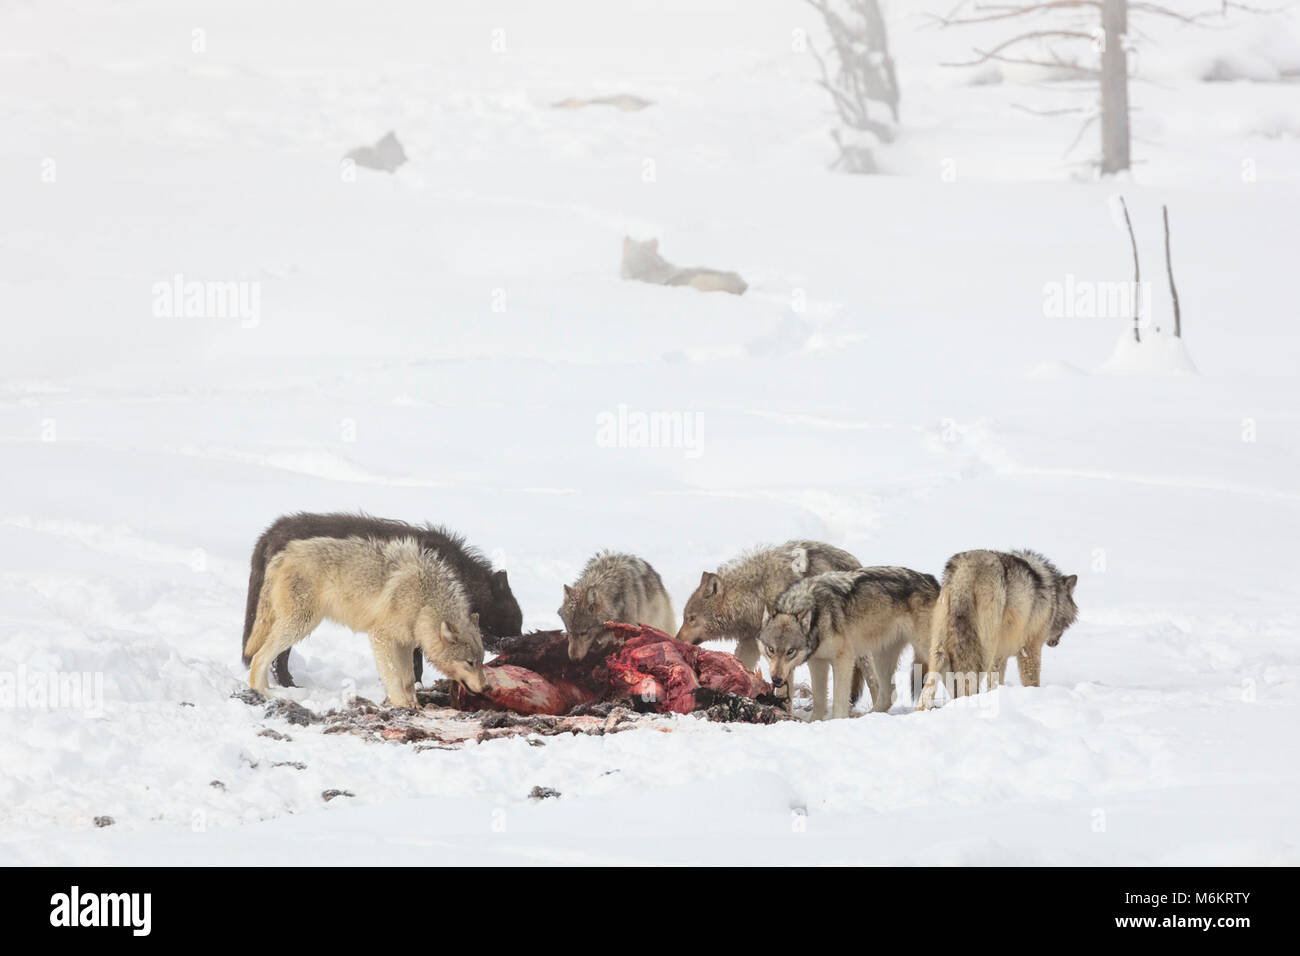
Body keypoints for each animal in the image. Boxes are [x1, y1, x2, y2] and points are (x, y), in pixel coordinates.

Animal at [241, 515, 525, 686]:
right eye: (513, 624)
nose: (518, 643)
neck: (456, 571)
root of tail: (270, 533)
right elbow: (414, 666)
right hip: (300, 617)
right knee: (276, 653)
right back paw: (288, 684)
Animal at [244, 538, 488, 712]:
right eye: (469, 663)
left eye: (480, 661)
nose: (486, 687)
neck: (424, 601)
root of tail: (283, 553)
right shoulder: (381, 637)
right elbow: (393, 675)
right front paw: (401, 703)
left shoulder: (405, 643)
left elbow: (408, 678)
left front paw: (414, 703)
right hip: (300, 625)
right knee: (259, 656)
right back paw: (262, 693)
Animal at [759, 567, 941, 717]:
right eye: (770, 650)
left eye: (790, 651)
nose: (776, 680)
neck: (818, 614)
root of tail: (932, 579)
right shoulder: (817, 662)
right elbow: (819, 700)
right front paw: (814, 722)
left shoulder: (844, 659)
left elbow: (839, 701)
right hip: (881, 657)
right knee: (889, 694)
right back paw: (868, 717)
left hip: (924, 648)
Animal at [920, 546, 1081, 712]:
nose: (1055, 643)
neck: (1053, 597)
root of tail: (966, 569)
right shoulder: (1029, 647)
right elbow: (1031, 679)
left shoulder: (1001, 656)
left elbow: (996, 683)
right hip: (984, 652)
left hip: (938, 652)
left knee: (927, 691)